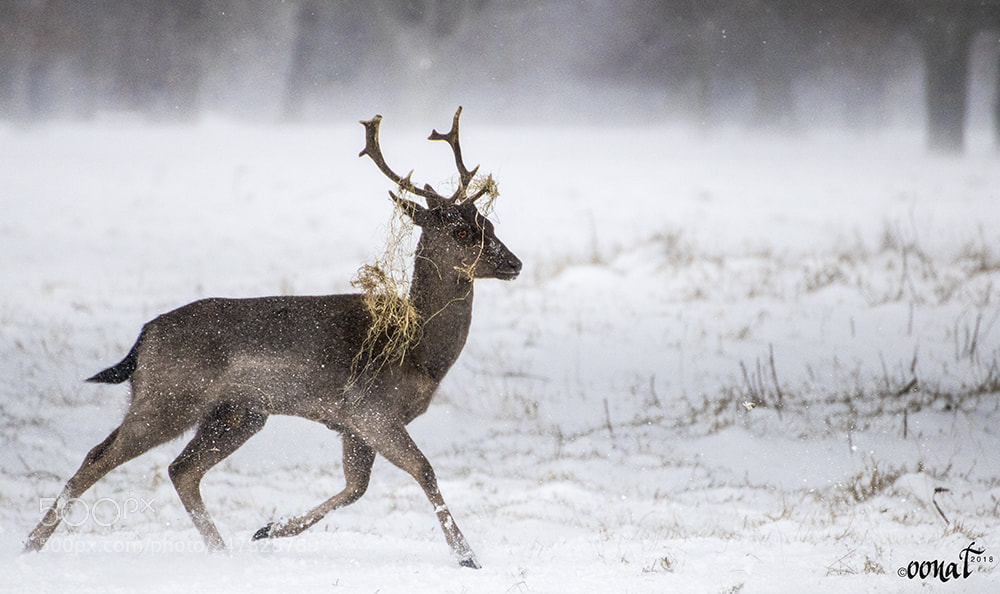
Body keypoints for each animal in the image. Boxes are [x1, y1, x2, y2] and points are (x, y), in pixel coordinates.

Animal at [23, 107, 521, 569]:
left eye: (491, 225)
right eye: (461, 230)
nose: (514, 263)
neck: (420, 351)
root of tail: (143, 337)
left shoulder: (350, 423)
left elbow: (355, 487)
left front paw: (268, 529)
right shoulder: (370, 407)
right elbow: (424, 470)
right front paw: (468, 556)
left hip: (238, 412)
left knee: (182, 469)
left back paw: (222, 550)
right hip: (170, 395)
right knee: (98, 456)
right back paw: (31, 545)